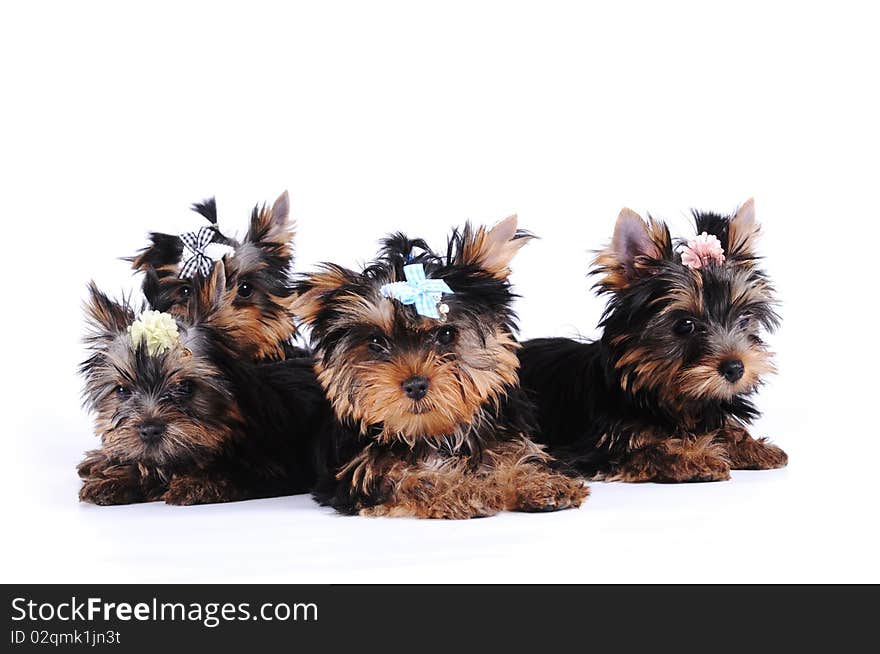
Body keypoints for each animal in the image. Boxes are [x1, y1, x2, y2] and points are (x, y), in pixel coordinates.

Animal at [77, 262, 324, 508]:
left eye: (186, 387)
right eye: (122, 390)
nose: (149, 430)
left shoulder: (272, 466)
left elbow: (230, 473)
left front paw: (195, 483)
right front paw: (115, 479)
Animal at [296, 218, 592, 520]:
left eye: (447, 334)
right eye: (377, 342)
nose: (415, 385)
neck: (435, 434)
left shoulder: (504, 435)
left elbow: (517, 454)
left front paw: (539, 482)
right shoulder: (360, 471)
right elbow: (408, 478)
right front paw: (466, 490)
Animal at [520, 202, 788, 484]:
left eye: (745, 318)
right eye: (685, 325)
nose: (735, 368)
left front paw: (752, 446)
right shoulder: (593, 448)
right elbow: (648, 448)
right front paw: (694, 456)